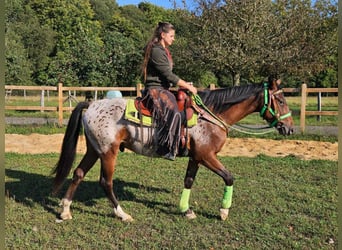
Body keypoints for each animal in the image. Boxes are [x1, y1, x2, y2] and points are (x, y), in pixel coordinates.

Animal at [52, 77, 292, 222]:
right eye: (280, 100)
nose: (289, 128)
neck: (211, 115)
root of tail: (92, 105)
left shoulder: (196, 157)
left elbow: (188, 181)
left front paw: (186, 209)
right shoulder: (207, 156)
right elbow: (229, 177)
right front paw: (223, 211)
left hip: (95, 150)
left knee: (78, 173)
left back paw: (65, 210)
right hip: (108, 153)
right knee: (105, 182)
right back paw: (122, 214)